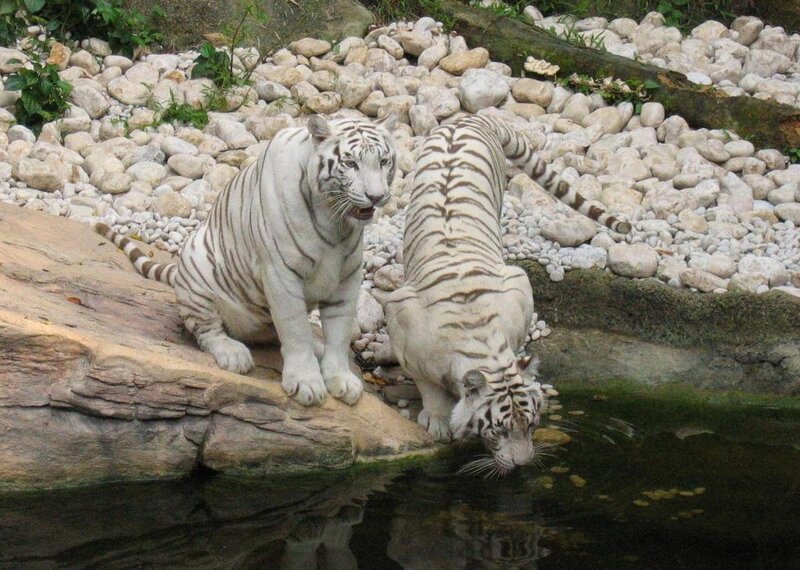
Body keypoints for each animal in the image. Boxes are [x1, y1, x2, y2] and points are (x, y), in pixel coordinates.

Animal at [96, 114, 398, 407]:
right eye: (350, 163)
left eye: (384, 161)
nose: (376, 197)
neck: (336, 222)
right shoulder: (281, 273)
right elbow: (296, 328)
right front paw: (306, 383)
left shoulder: (347, 277)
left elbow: (339, 331)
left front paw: (340, 379)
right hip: (197, 267)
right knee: (208, 332)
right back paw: (234, 355)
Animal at [385, 114, 630, 474]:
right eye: (498, 429)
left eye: (531, 424)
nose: (522, 463)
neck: (480, 340)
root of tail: (470, 117)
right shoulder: (402, 324)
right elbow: (428, 387)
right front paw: (439, 421)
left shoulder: (518, 284)